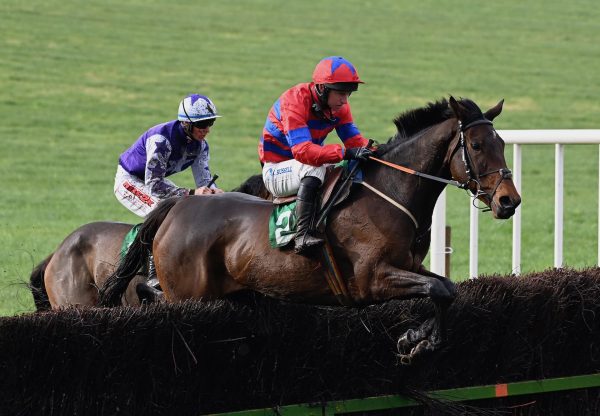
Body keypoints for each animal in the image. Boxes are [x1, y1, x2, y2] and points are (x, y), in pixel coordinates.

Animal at [98, 96, 520, 362]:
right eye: (477, 145)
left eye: (501, 142)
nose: (508, 201)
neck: (390, 192)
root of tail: (181, 204)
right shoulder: (371, 278)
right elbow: (437, 289)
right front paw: (417, 339)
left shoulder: (410, 266)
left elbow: (446, 289)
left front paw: (417, 339)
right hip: (189, 293)